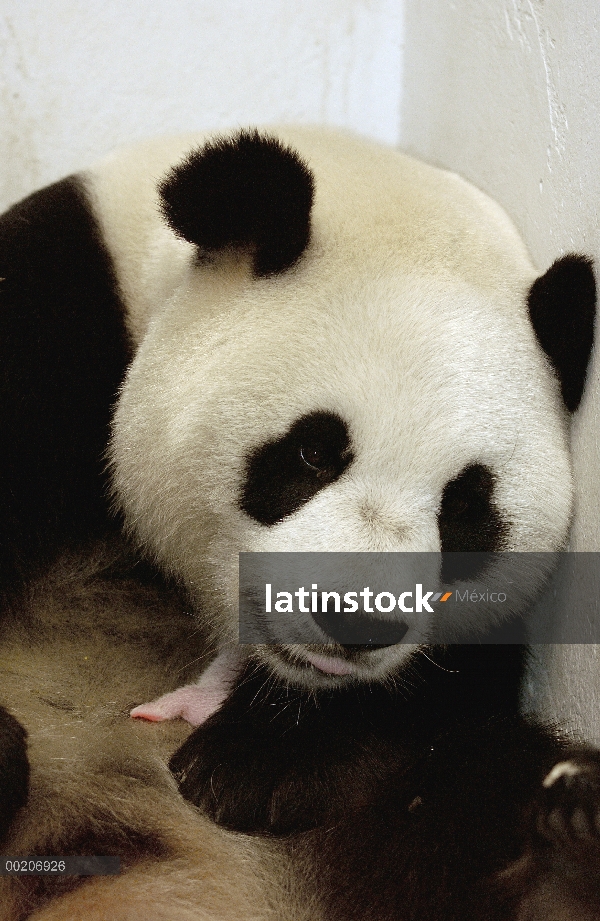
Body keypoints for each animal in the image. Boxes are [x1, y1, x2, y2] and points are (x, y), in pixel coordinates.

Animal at [0, 124, 596, 920]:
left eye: (466, 506)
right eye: (314, 450)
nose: (357, 621)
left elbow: (451, 685)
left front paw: (258, 761)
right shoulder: (53, 316)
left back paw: (567, 847)